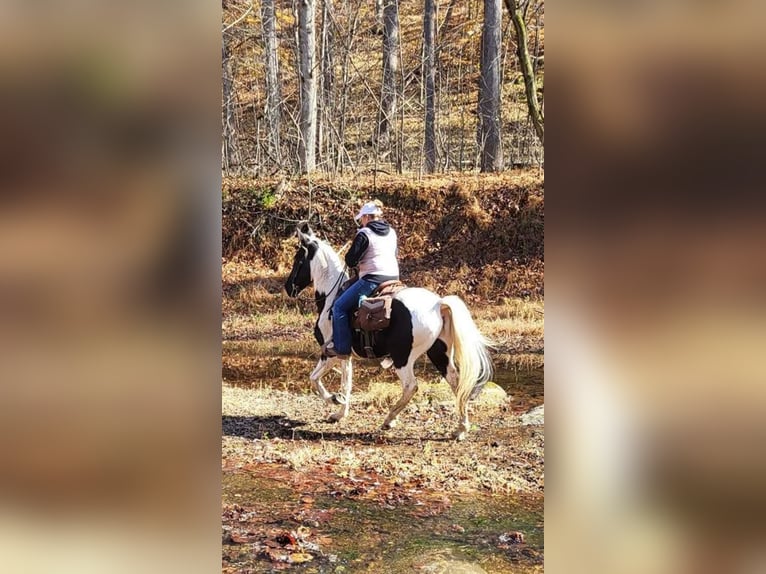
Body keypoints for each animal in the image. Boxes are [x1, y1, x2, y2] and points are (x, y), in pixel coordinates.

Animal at [284, 224, 496, 440]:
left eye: (298, 259)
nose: (288, 287)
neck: (331, 298)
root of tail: (439, 304)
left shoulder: (331, 352)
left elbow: (314, 378)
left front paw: (333, 399)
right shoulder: (345, 354)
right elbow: (346, 383)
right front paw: (340, 412)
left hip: (403, 357)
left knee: (411, 386)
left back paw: (389, 419)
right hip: (439, 353)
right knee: (456, 382)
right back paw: (461, 428)